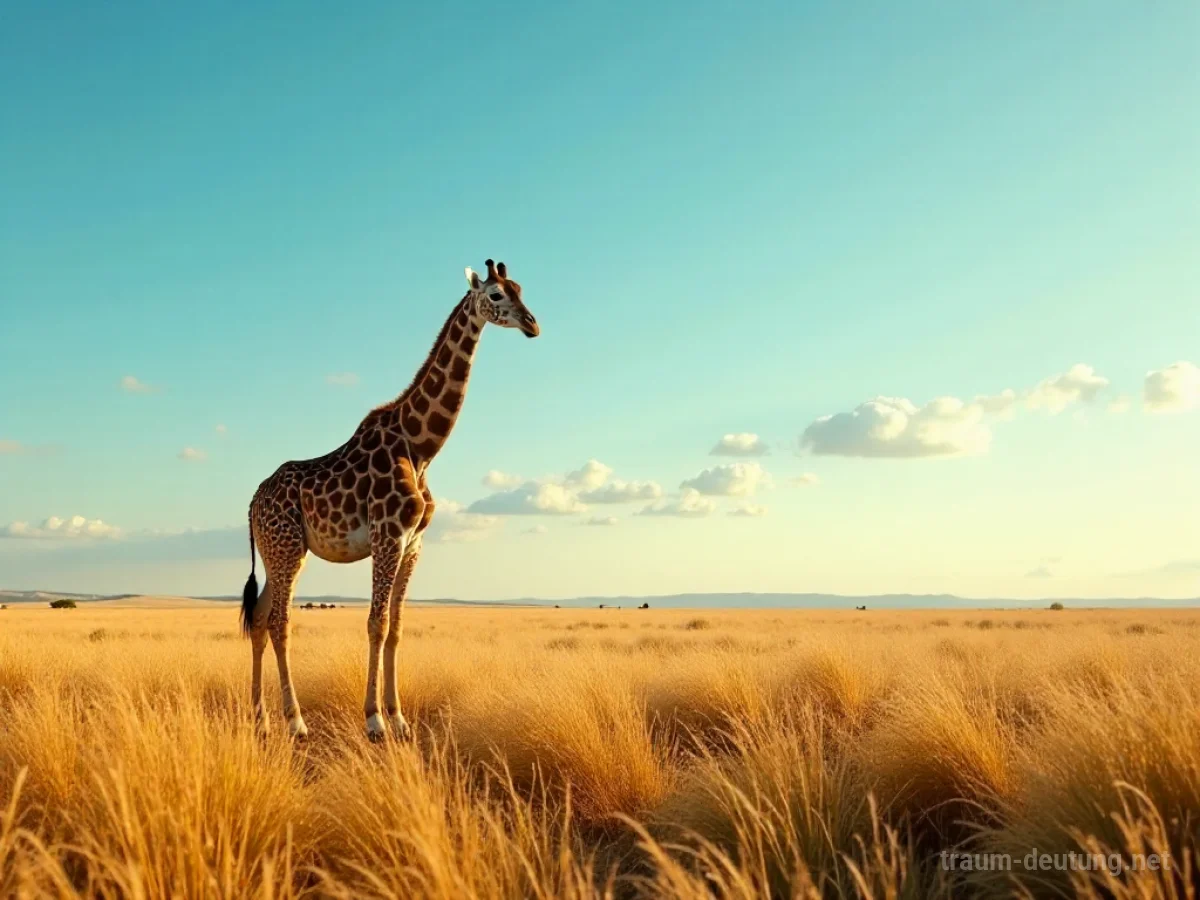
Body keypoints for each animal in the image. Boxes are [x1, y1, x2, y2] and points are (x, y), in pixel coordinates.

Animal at [241, 259, 539, 741]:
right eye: (496, 295)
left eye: (520, 288)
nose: (533, 324)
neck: (421, 447)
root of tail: (250, 504)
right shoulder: (388, 535)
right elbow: (375, 624)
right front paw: (375, 720)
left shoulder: (414, 543)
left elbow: (397, 627)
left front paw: (399, 718)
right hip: (287, 549)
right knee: (279, 621)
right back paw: (296, 722)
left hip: (277, 553)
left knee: (260, 619)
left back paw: (261, 719)